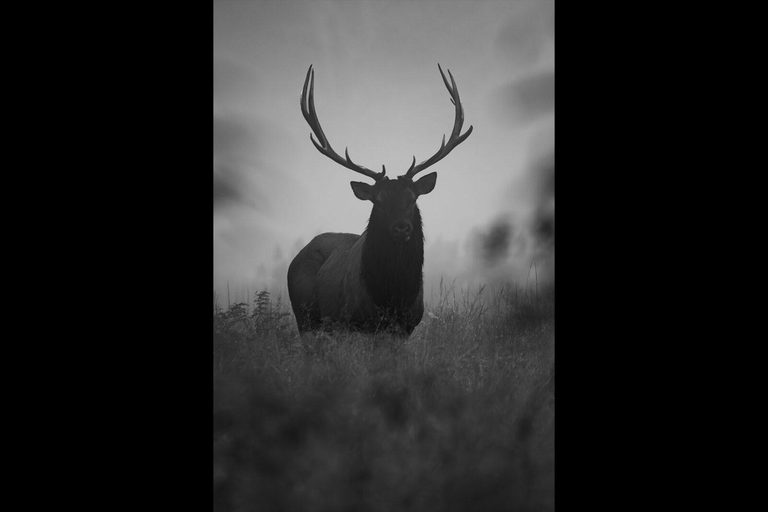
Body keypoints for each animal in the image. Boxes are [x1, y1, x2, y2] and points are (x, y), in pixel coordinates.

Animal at [287, 64, 473, 337]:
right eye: (379, 200)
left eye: (412, 198)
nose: (402, 228)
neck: (391, 296)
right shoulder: (355, 323)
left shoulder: (406, 327)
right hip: (306, 317)